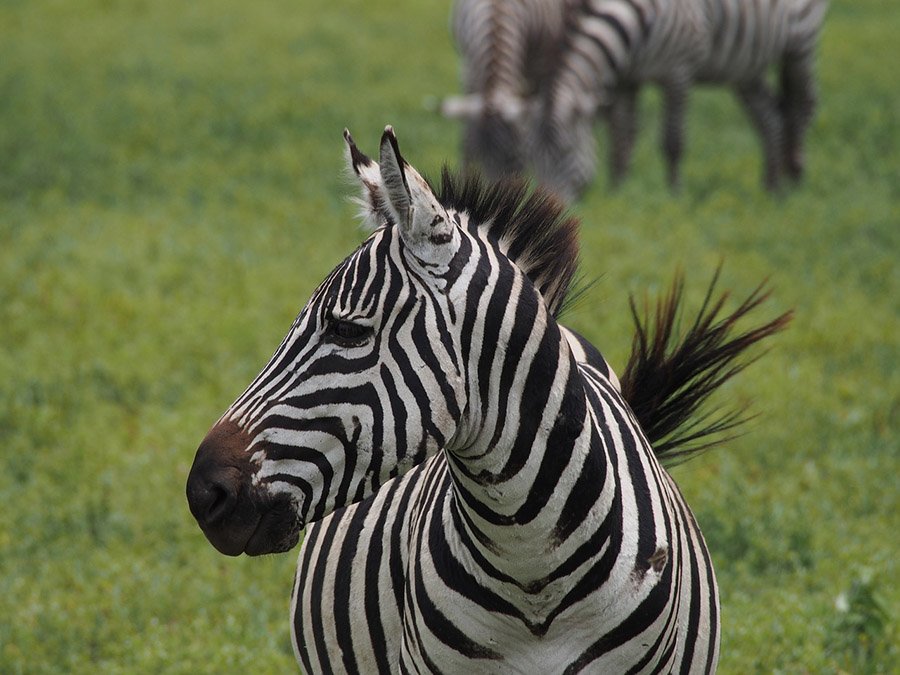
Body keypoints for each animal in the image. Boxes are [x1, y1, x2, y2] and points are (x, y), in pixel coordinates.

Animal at [532, 0, 828, 201]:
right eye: (533, 159)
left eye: (566, 151)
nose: (551, 204)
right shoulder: (628, 79)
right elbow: (621, 140)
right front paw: (619, 190)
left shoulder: (679, 70)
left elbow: (672, 141)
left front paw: (674, 195)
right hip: (746, 67)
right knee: (771, 117)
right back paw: (771, 188)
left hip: (801, 42)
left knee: (802, 106)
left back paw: (796, 178)